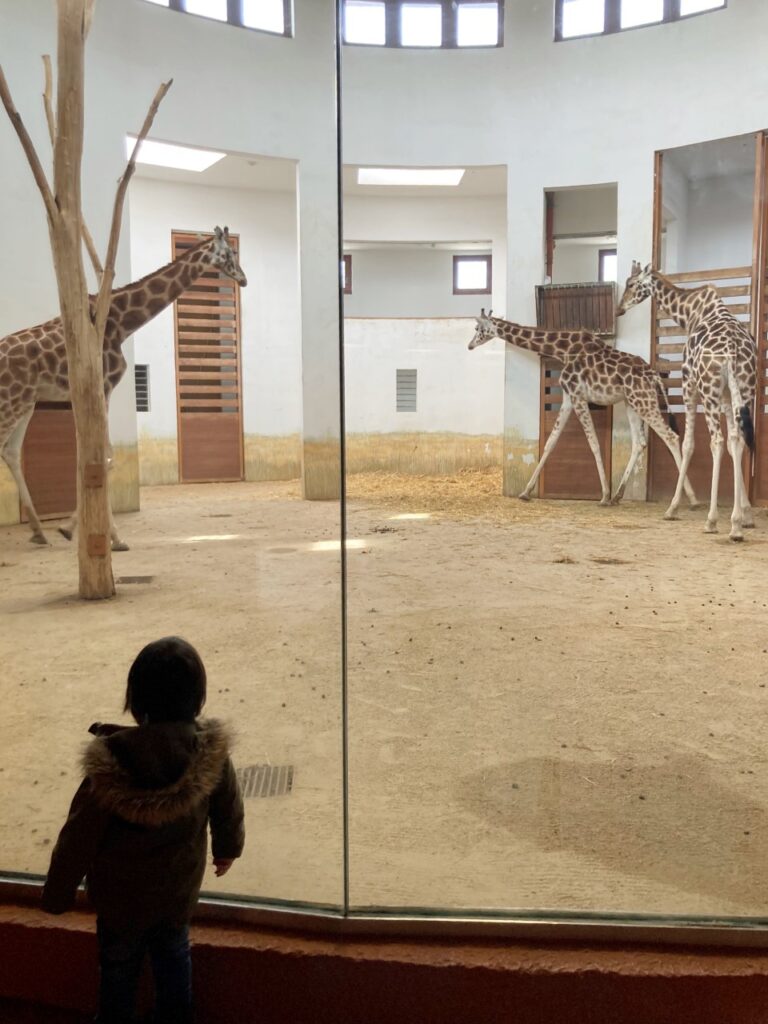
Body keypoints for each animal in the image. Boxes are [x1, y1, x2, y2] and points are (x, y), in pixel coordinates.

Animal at [0, 227, 246, 552]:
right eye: (228, 253)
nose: (243, 278)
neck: (122, 322)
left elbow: (94, 459)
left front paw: (76, 530)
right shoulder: (104, 386)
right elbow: (108, 457)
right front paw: (105, 536)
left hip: (26, 401)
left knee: (10, 451)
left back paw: (39, 532)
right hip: (11, 400)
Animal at [466, 307, 700, 507]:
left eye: (478, 329)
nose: (469, 346)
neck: (562, 350)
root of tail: (653, 375)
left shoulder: (578, 396)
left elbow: (593, 443)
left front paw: (603, 495)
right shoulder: (569, 397)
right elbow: (550, 442)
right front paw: (525, 492)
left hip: (643, 401)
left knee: (671, 436)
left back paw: (689, 498)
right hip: (632, 402)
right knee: (639, 442)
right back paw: (618, 495)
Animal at [618, 260, 757, 540]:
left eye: (631, 284)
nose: (619, 309)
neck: (690, 312)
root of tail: (733, 350)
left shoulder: (688, 385)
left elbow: (688, 443)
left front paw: (673, 508)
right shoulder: (729, 397)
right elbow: (735, 443)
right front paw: (744, 515)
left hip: (707, 391)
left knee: (716, 441)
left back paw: (712, 520)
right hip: (744, 389)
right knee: (737, 440)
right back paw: (735, 525)